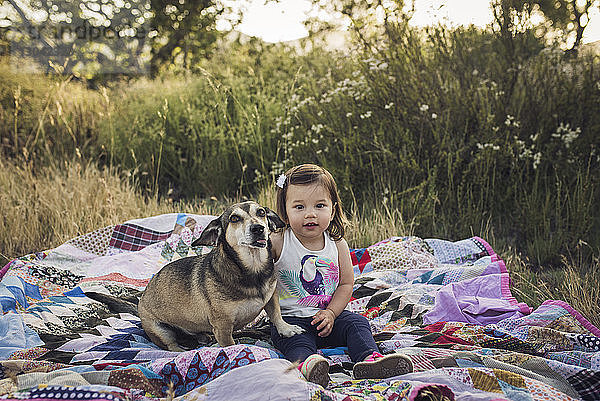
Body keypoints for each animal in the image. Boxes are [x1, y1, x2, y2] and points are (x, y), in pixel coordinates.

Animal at [137, 202, 304, 348]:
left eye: (261, 212)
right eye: (234, 218)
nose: (258, 228)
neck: (253, 269)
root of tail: (143, 296)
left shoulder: (271, 296)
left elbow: (276, 314)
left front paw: (286, 329)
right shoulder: (223, 327)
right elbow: (229, 344)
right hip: (160, 331)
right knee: (172, 346)